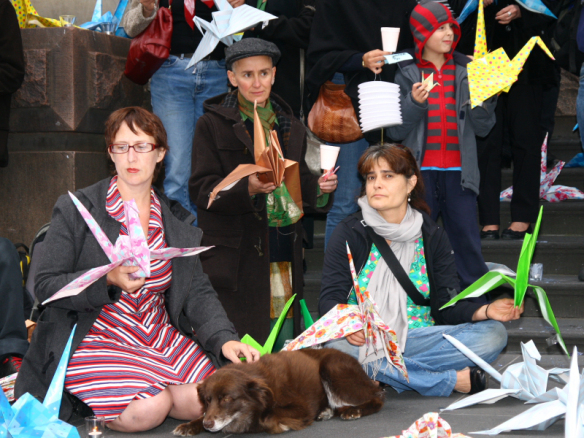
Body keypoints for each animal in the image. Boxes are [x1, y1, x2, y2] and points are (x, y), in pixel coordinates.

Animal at [172, 348, 384, 432]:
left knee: (377, 398)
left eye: (227, 399)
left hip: (332, 368)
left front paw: (278, 424)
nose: (208, 425)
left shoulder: (300, 407)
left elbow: (268, 416)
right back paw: (326, 412)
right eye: (207, 400)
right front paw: (190, 425)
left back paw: (354, 411)